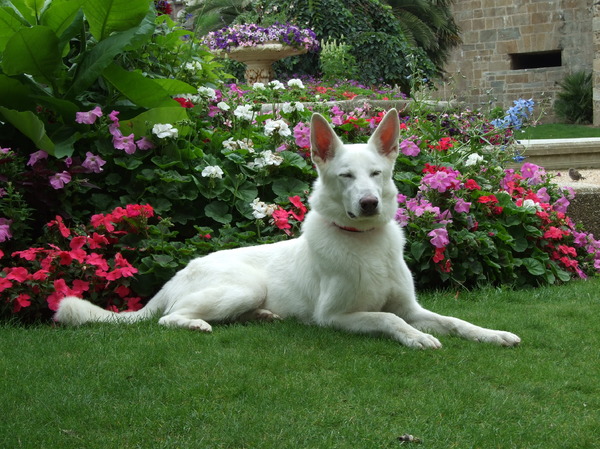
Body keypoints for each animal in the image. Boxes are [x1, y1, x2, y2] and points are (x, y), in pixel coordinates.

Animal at [56, 107, 520, 348]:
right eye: (346, 177)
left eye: (376, 174)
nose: (369, 204)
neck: (364, 242)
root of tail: (180, 272)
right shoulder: (335, 317)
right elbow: (388, 319)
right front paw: (415, 339)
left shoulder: (414, 308)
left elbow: (454, 321)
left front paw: (492, 334)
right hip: (241, 287)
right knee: (168, 318)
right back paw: (195, 324)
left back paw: (261, 317)